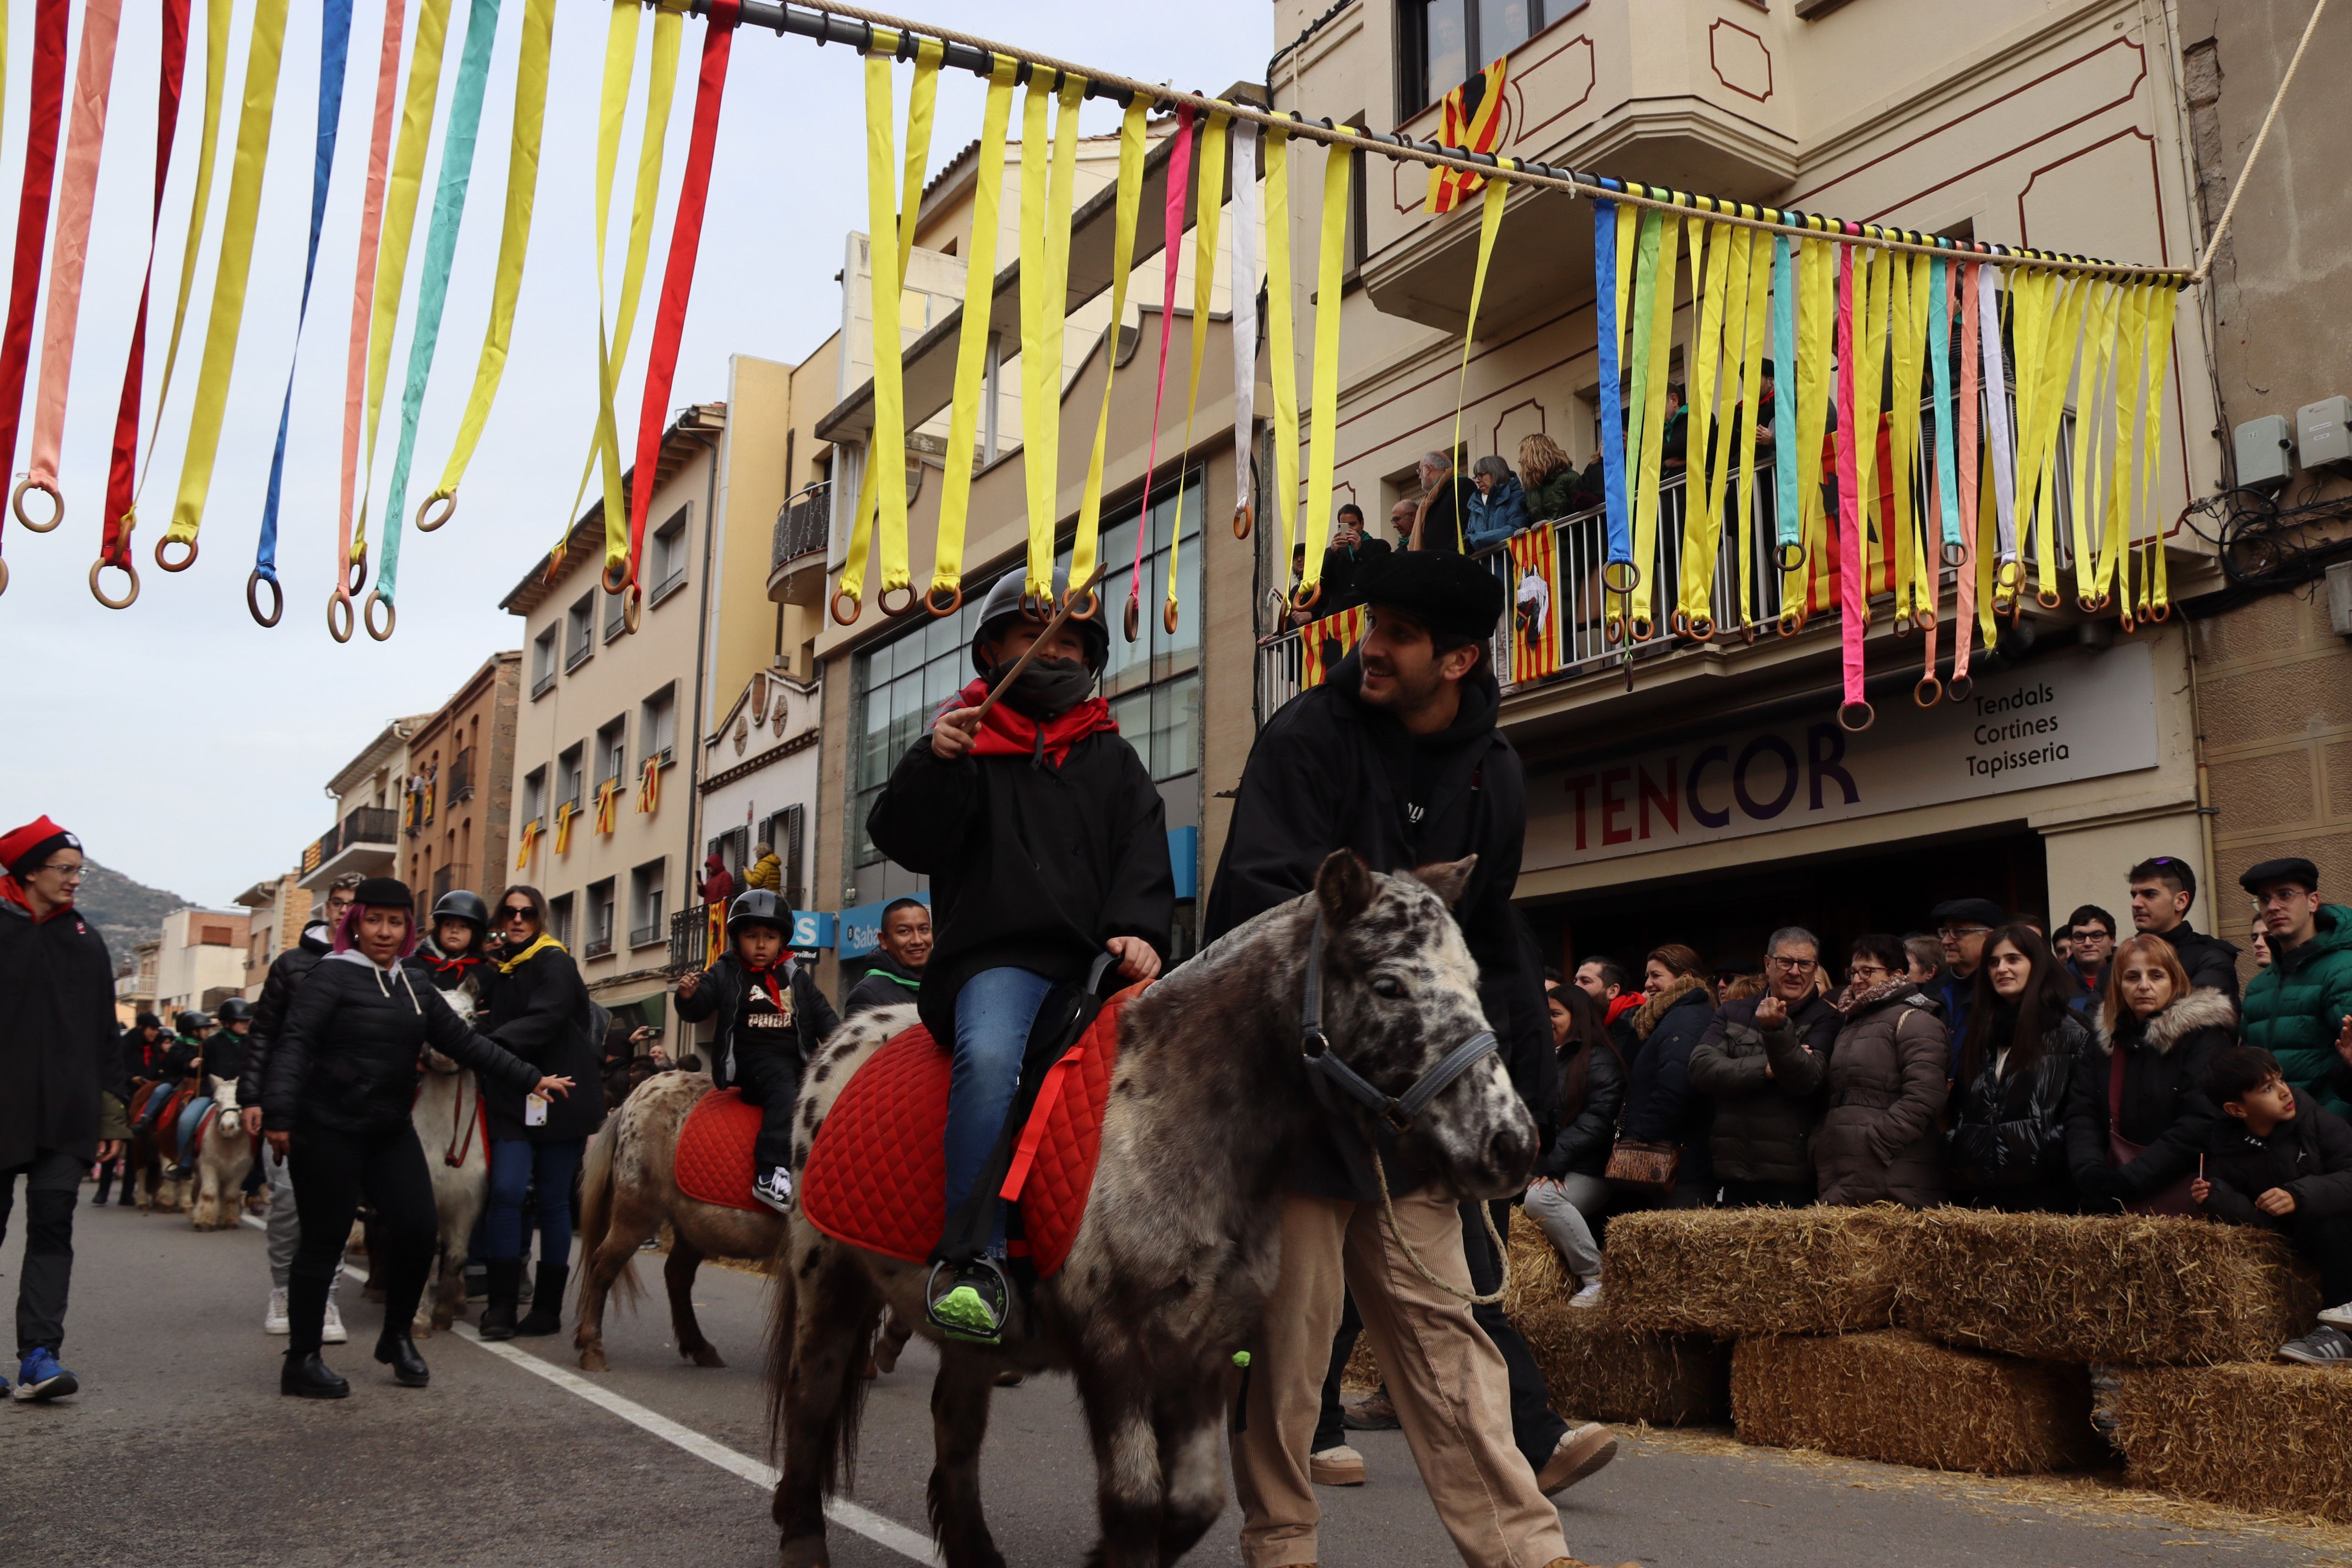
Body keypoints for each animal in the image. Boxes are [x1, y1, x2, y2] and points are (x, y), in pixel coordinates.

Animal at [571, 1067, 785, 1373]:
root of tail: (632, 1099)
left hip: (695, 1227)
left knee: (677, 1275)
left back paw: (700, 1347)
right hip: (635, 1214)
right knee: (603, 1267)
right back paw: (592, 1348)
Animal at [771, 860, 1543, 1568]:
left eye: (1475, 982)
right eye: (1389, 985)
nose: (1513, 1144)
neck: (1169, 1113)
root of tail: (844, 1036)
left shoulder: (1202, 1349)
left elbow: (1195, 1501)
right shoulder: (1115, 1350)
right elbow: (1135, 1504)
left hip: (968, 1338)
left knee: (954, 1425)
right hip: (829, 1278)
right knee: (812, 1396)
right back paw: (803, 1535)